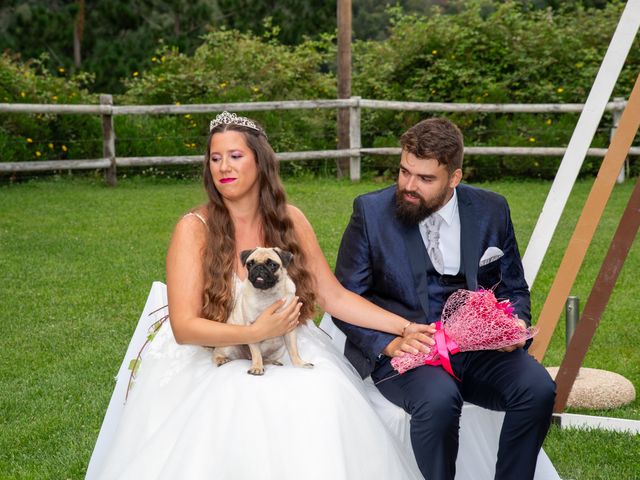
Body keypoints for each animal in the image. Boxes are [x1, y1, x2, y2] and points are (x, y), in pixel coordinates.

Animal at [214, 248, 314, 376]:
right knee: (217, 354)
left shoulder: (290, 327)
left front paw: (299, 364)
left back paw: (272, 362)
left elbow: (293, 350)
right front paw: (257, 367)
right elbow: (256, 353)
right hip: (229, 345)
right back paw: (221, 360)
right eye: (250, 264)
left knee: (265, 358)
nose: (259, 267)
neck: (267, 294)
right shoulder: (252, 328)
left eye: (272, 265)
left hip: (278, 350)